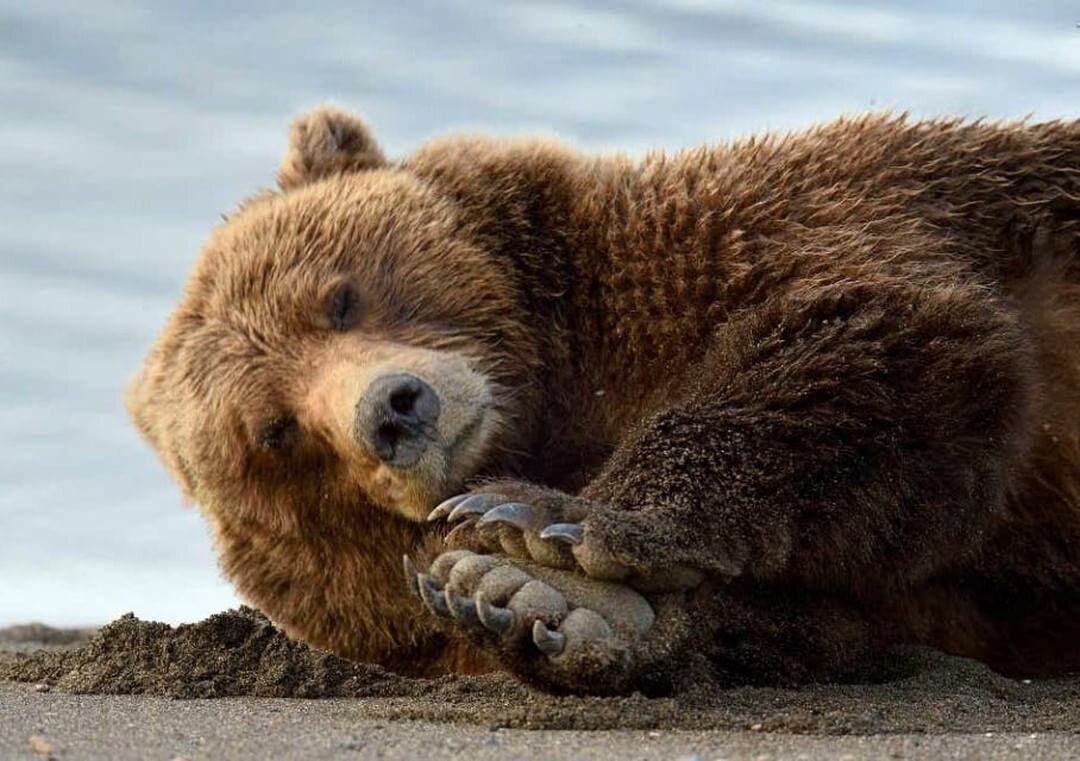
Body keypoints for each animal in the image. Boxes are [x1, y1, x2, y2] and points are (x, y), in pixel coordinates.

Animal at [127, 105, 1080, 693]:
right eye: (275, 430)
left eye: (338, 296)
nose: (395, 410)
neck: (561, 393)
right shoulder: (944, 607)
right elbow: (828, 623)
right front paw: (535, 596)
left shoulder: (774, 226)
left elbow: (883, 331)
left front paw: (549, 521)